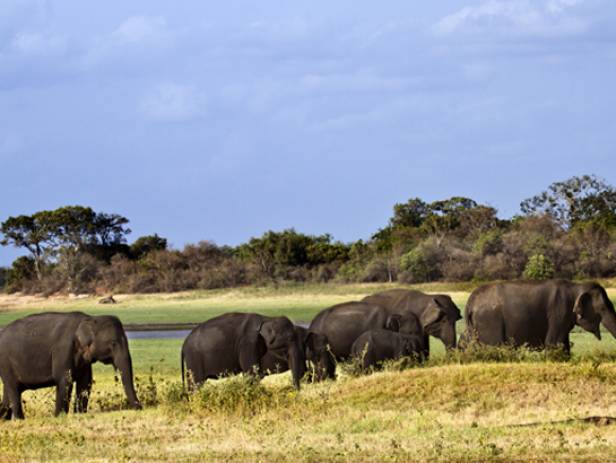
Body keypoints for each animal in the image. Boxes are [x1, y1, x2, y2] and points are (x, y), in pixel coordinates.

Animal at [0, 312, 141, 420]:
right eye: (113, 343)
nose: (140, 408)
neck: (89, 318)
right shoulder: (63, 350)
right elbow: (65, 380)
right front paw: (59, 416)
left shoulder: (84, 360)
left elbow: (85, 383)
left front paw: (80, 413)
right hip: (6, 363)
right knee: (13, 390)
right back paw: (19, 419)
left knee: (9, 392)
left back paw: (4, 419)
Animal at [460, 280, 616, 354]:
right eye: (603, 309)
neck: (576, 286)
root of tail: (470, 302)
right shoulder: (559, 310)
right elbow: (553, 344)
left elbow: (564, 346)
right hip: (489, 320)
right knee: (494, 347)